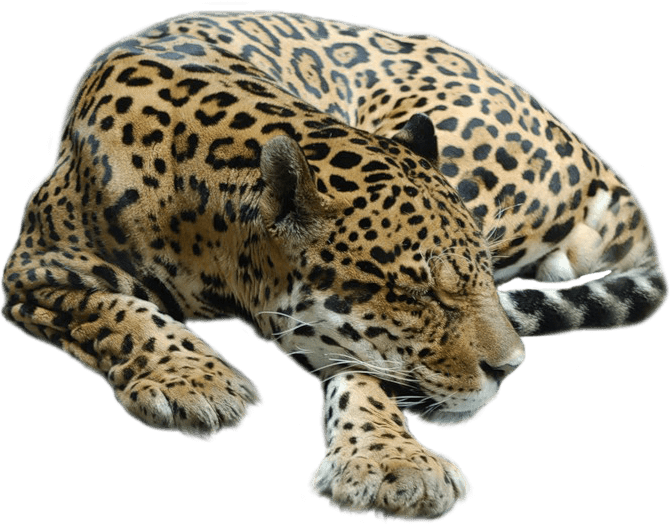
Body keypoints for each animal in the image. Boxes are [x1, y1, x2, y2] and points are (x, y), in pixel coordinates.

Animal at [1, 9, 667, 520]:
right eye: (415, 293)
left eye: (477, 271)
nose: (511, 369)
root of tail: (597, 157)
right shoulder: (36, 263)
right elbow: (118, 308)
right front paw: (194, 379)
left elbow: (364, 369)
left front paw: (395, 463)